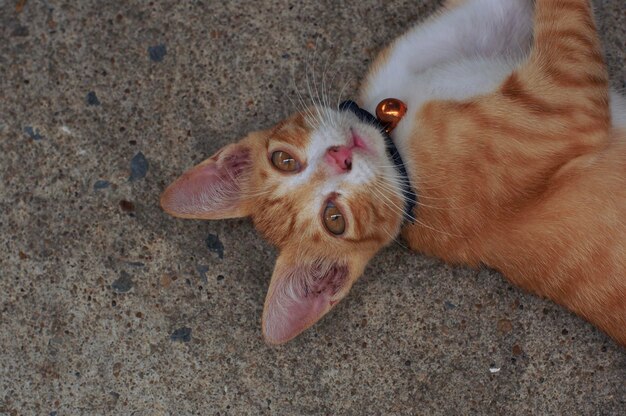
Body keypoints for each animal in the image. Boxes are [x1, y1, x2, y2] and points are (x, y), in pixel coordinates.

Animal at [160, 0, 624, 344]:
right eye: (334, 218)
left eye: (284, 160)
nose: (340, 157)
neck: (393, 131)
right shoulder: (565, 100)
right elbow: (562, 17)